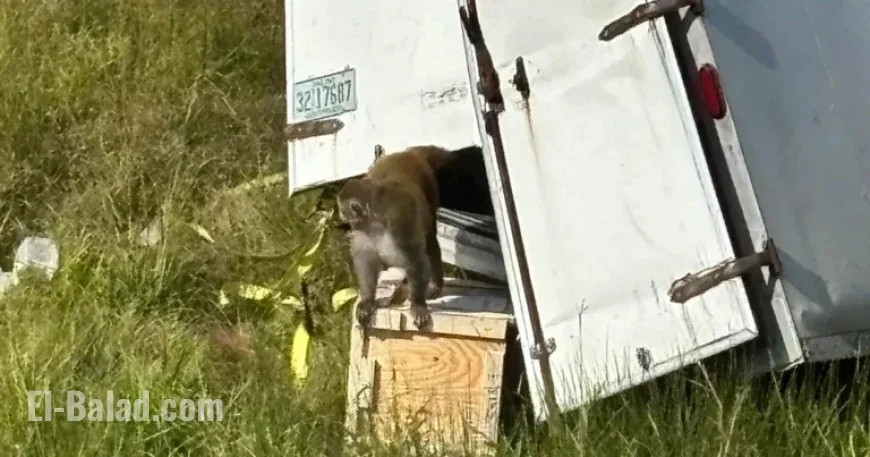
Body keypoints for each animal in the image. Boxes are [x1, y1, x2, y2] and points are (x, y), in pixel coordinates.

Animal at [336, 145, 454, 330]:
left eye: (343, 209)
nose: (340, 214)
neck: (375, 220)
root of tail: (407, 153)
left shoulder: (399, 222)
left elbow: (416, 260)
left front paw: (418, 305)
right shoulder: (362, 229)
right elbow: (366, 261)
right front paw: (367, 300)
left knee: (430, 240)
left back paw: (434, 285)